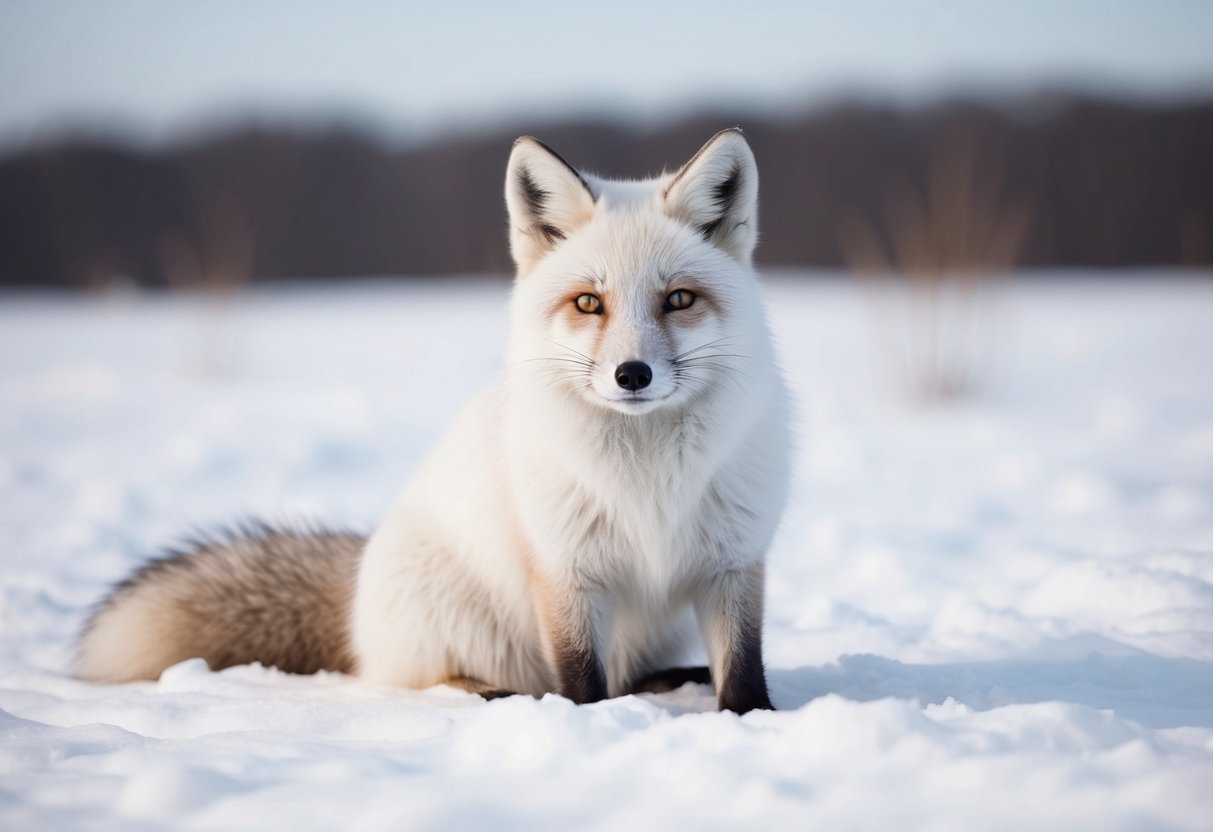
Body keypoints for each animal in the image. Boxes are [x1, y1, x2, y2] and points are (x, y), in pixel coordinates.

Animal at [77, 128, 791, 713]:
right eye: (590, 303)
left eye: (679, 300)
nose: (632, 375)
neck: (646, 480)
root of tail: (356, 597)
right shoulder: (564, 569)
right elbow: (580, 680)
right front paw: (582, 725)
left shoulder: (733, 561)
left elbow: (741, 668)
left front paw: (752, 721)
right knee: (442, 681)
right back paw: (497, 695)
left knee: (628, 676)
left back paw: (671, 680)